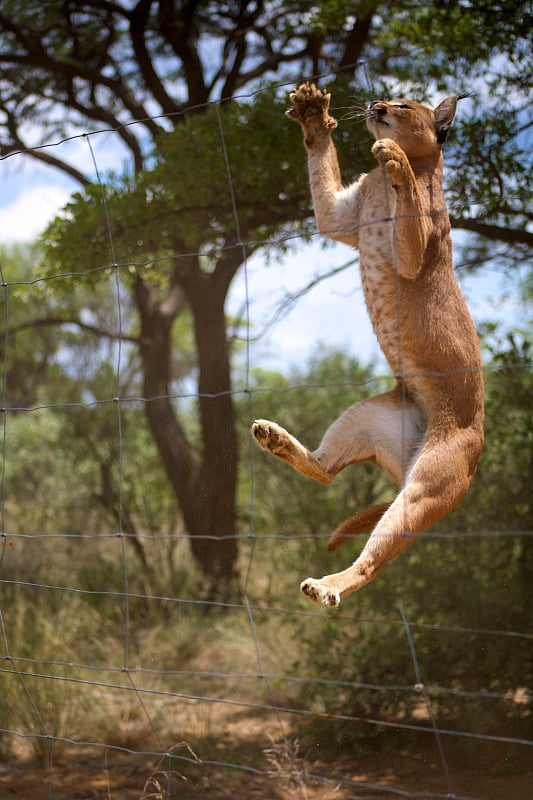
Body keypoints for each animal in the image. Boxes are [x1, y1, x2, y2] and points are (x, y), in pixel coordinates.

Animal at [251, 83, 484, 608]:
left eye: (403, 106)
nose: (377, 105)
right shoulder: (339, 217)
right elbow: (323, 175)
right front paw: (313, 116)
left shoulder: (416, 250)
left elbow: (409, 201)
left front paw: (394, 158)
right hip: (366, 417)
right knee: (325, 470)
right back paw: (273, 437)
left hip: (426, 486)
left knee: (372, 560)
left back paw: (325, 587)